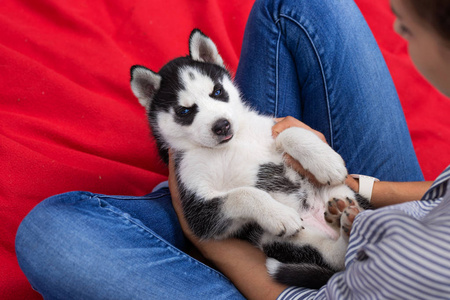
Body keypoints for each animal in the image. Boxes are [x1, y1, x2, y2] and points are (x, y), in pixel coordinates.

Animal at [130, 28, 370, 288]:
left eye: (218, 92)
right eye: (184, 111)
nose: (222, 125)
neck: (228, 145)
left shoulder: (268, 129)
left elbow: (287, 132)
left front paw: (325, 161)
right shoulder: (198, 210)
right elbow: (243, 193)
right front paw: (277, 213)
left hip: (339, 191)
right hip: (278, 241)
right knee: (337, 259)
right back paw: (345, 227)